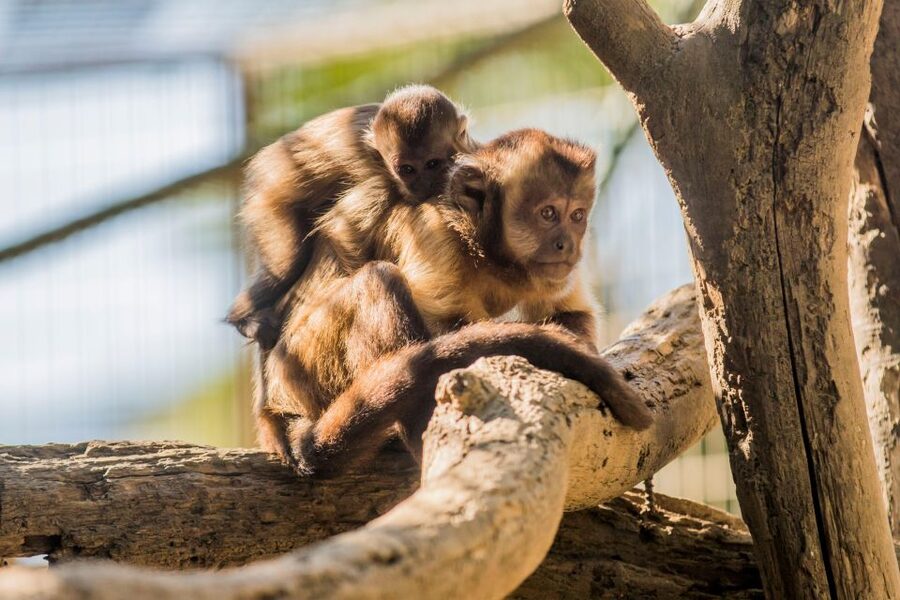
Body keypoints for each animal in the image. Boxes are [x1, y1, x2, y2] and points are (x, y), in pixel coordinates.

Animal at [227, 84, 475, 349]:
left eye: (432, 164)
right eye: (407, 170)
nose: (421, 185)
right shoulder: (381, 180)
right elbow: (341, 230)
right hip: (268, 200)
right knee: (287, 263)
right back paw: (242, 318)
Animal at [258, 129, 650, 467]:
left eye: (577, 216)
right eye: (548, 213)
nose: (567, 243)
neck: (489, 255)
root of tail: (272, 403)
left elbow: (569, 312)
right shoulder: (432, 233)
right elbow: (450, 325)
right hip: (306, 361)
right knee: (378, 281)